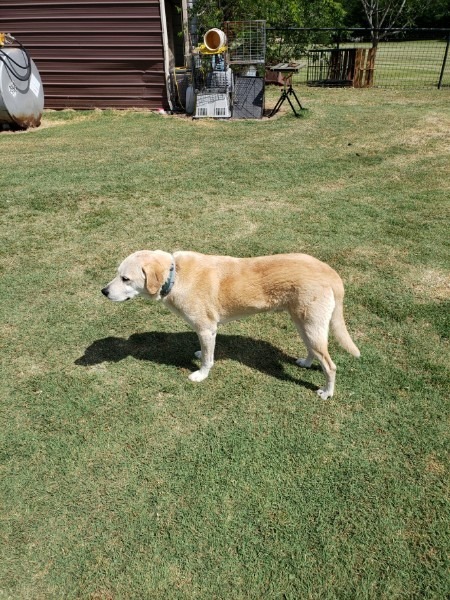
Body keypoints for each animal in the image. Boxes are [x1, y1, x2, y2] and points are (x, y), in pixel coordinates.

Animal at [102, 250, 358, 398]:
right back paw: (305, 362)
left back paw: (327, 392)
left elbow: (208, 359)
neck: (176, 276)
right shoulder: (206, 332)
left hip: (310, 324)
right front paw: (199, 353)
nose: (103, 291)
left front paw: (201, 375)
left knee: (330, 365)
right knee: (314, 350)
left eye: (126, 279)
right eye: (117, 274)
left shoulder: (207, 328)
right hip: (303, 322)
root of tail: (330, 271)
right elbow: (205, 351)